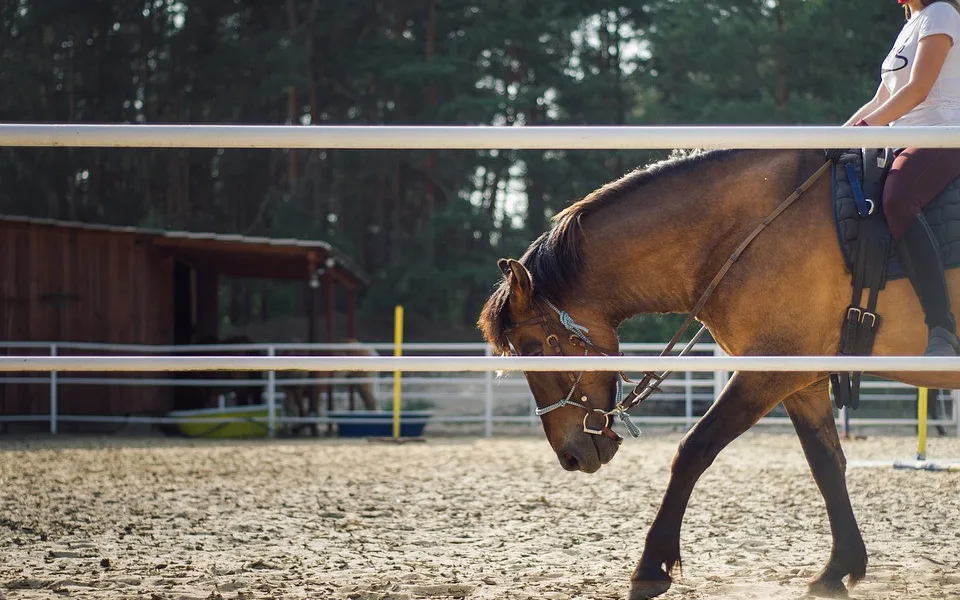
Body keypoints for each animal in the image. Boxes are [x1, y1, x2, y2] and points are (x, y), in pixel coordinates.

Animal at [478, 149, 960, 599]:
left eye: (532, 349)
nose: (570, 455)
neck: (750, 230)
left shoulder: (766, 372)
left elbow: (694, 450)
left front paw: (651, 566)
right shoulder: (801, 381)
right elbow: (826, 465)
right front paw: (838, 569)